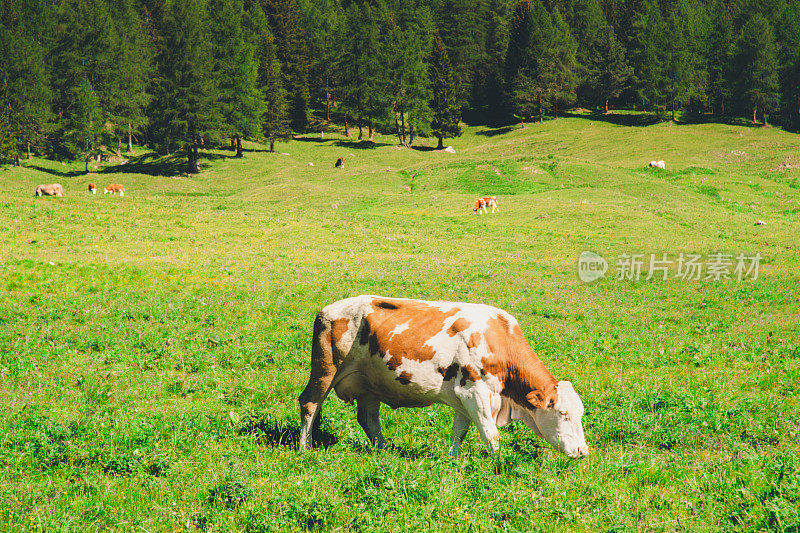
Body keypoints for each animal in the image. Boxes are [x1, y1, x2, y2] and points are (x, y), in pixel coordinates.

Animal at [298, 296, 588, 458]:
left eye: (581, 414)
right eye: (563, 413)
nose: (583, 452)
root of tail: (328, 309)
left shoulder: (464, 397)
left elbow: (459, 431)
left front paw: (452, 459)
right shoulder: (476, 393)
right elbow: (490, 434)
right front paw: (499, 464)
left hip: (370, 384)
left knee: (368, 418)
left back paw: (384, 451)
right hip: (325, 370)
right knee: (309, 403)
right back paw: (305, 448)